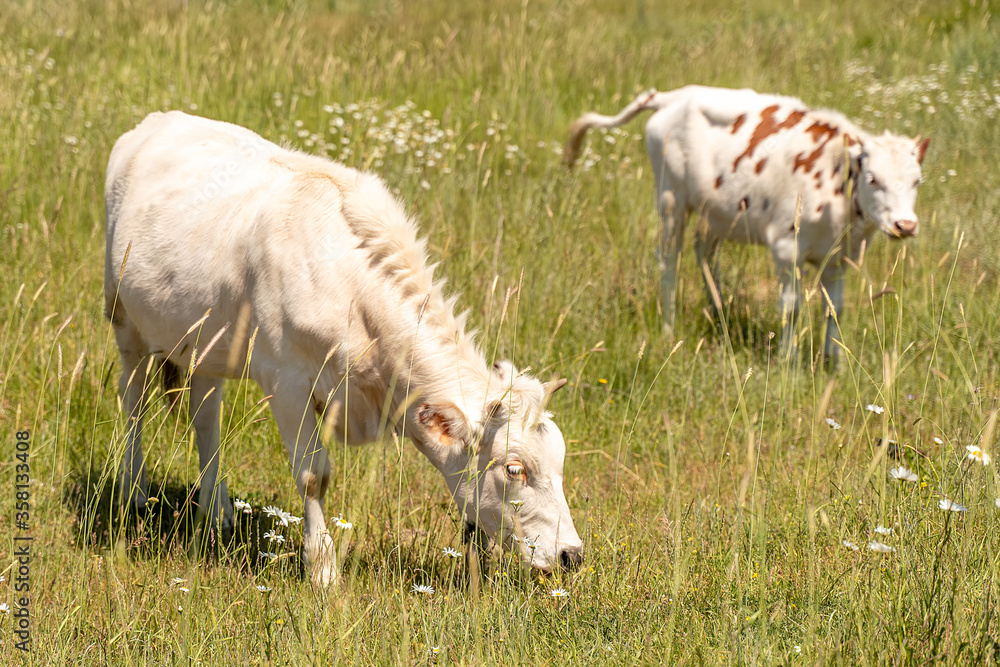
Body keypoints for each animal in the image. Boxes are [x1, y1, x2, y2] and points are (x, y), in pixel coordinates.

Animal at [104, 111, 583, 586]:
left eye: (560, 460)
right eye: (514, 468)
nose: (571, 555)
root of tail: (161, 119)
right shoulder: (287, 383)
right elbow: (313, 476)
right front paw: (322, 567)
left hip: (206, 342)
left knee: (205, 414)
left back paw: (216, 510)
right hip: (123, 315)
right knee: (133, 399)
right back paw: (134, 490)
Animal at [565, 85, 929, 362]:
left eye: (917, 181)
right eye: (873, 179)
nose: (906, 225)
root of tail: (675, 95)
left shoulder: (839, 259)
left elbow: (834, 310)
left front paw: (832, 363)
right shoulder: (786, 249)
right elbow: (791, 307)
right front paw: (787, 361)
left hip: (717, 212)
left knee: (704, 252)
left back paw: (719, 313)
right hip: (671, 199)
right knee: (669, 259)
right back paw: (669, 326)